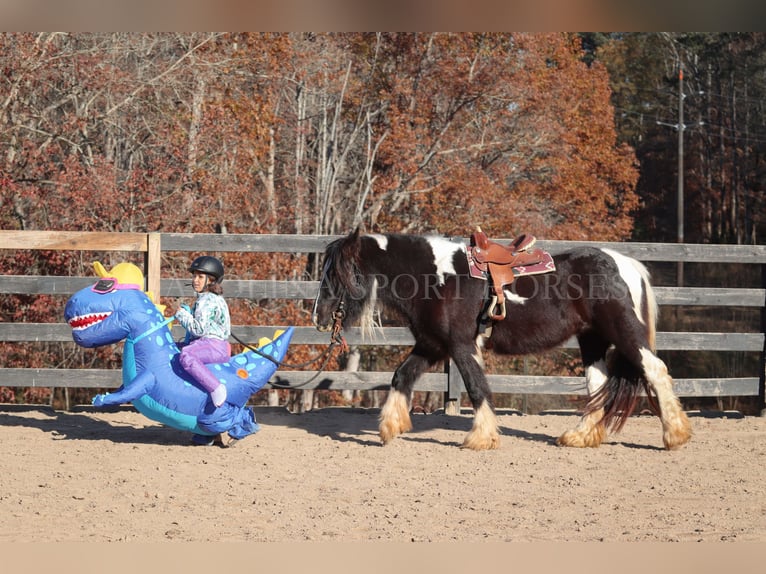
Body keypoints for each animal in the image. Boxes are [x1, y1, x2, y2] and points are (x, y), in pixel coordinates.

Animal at [312, 227, 696, 452]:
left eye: (336, 272)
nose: (318, 316)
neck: (436, 277)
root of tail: (625, 263)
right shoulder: (432, 344)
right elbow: (401, 376)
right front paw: (390, 426)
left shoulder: (461, 345)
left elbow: (476, 386)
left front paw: (480, 437)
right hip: (592, 341)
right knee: (597, 386)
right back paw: (579, 437)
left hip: (624, 332)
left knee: (655, 370)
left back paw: (675, 435)